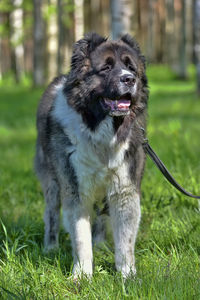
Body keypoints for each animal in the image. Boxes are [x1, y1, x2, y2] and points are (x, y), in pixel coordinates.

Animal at [35, 31, 148, 278]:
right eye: (105, 68)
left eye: (131, 68)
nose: (129, 80)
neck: (100, 130)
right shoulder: (74, 188)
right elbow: (80, 235)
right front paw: (82, 275)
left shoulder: (124, 187)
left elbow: (125, 238)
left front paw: (127, 275)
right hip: (52, 182)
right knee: (51, 213)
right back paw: (50, 247)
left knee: (100, 217)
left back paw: (101, 244)